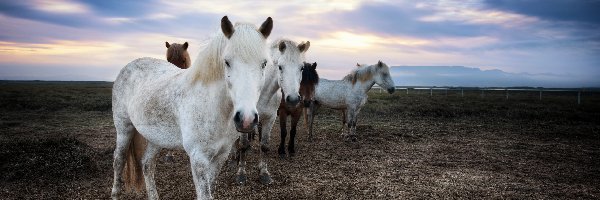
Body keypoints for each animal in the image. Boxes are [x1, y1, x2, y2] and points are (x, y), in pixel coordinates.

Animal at [110, 16, 274, 199]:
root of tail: (128, 66)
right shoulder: (198, 158)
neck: (213, 107)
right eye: (227, 62)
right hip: (124, 129)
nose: (246, 119)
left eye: (264, 64)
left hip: (155, 138)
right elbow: (204, 194)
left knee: (147, 165)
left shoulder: (220, 157)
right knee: (118, 161)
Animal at [233, 38, 312, 184]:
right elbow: (243, 144)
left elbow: (264, 145)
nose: (293, 99)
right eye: (280, 67)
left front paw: (264, 173)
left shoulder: (269, 119)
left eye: (301, 68)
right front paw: (241, 173)